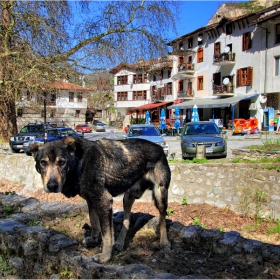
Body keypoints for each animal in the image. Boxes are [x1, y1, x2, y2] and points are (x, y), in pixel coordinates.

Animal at [29, 137, 173, 264]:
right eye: (43, 163)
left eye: (61, 162)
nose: (52, 186)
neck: (80, 162)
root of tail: (159, 147)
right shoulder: (91, 200)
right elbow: (95, 224)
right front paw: (94, 240)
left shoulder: (104, 201)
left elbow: (106, 234)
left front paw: (105, 257)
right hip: (128, 197)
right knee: (127, 219)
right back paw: (120, 243)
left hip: (160, 195)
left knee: (162, 218)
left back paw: (164, 242)